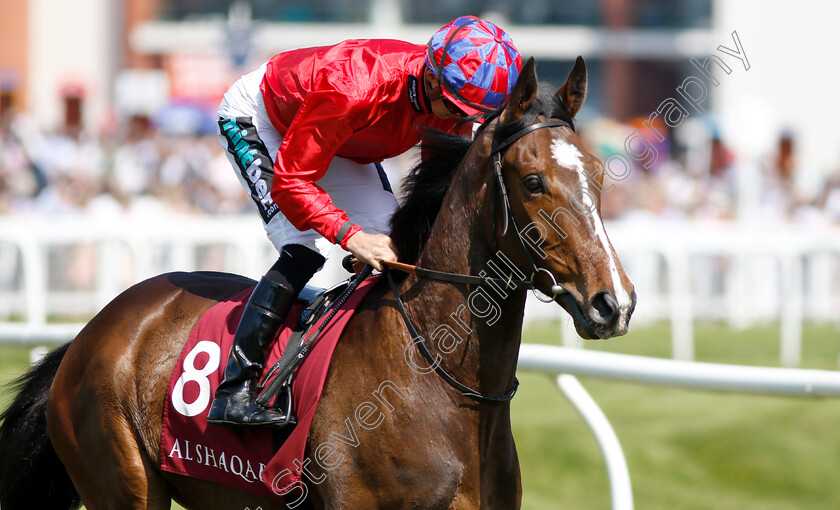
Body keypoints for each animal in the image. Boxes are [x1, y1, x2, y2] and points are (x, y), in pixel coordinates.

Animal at [0, 56, 632, 510]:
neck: (438, 381)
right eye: (533, 181)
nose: (614, 303)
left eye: (599, 174)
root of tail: (91, 333)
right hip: (124, 481)